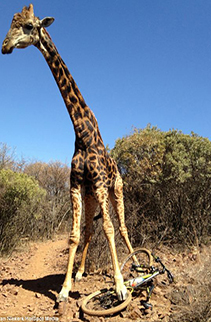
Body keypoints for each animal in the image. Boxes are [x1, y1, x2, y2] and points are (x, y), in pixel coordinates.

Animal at [2, 4, 134, 304]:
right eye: (11, 23)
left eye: (28, 25)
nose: (4, 46)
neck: (82, 133)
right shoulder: (75, 185)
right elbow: (74, 236)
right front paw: (64, 288)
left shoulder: (100, 184)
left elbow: (110, 229)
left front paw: (120, 286)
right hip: (91, 197)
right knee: (89, 229)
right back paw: (81, 272)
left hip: (115, 189)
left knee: (121, 226)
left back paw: (136, 261)